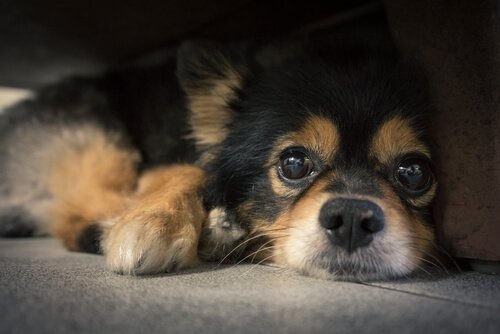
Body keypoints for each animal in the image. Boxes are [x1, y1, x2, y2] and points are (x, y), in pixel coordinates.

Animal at [0, 40, 438, 280]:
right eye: (294, 164)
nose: (350, 218)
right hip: (99, 140)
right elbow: (193, 170)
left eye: (414, 173)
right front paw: (152, 223)